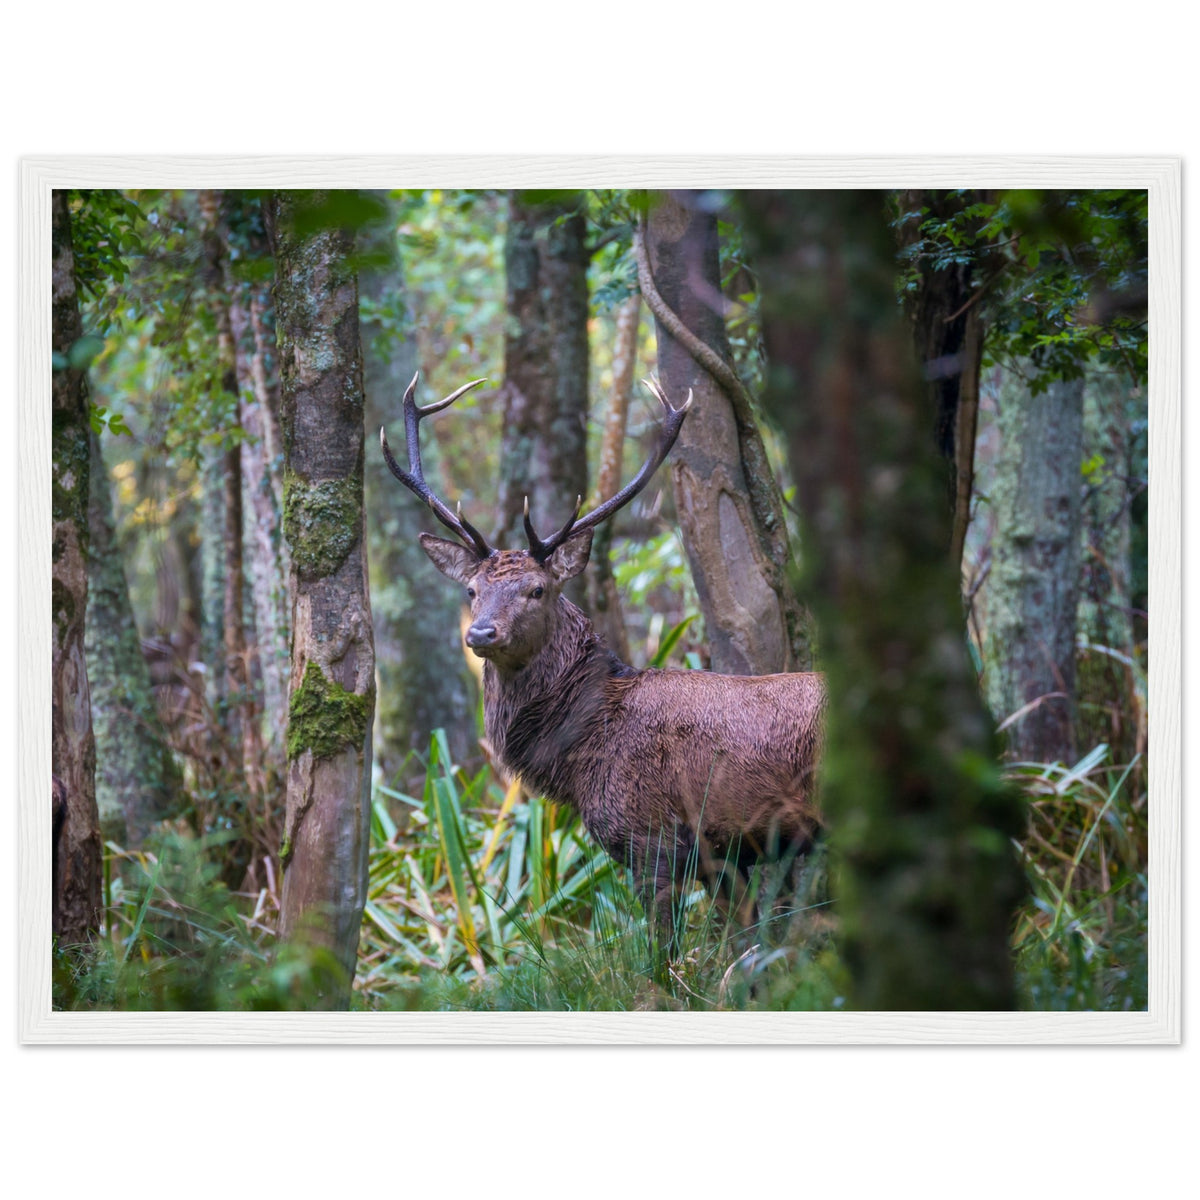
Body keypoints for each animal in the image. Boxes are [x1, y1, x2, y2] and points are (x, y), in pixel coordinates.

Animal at [381, 373, 825, 952]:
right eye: (472, 590)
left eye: (537, 589)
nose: (481, 632)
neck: (580, 755)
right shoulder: (721, 855)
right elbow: (748, 942)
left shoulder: (651, 838)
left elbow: (662, 953)